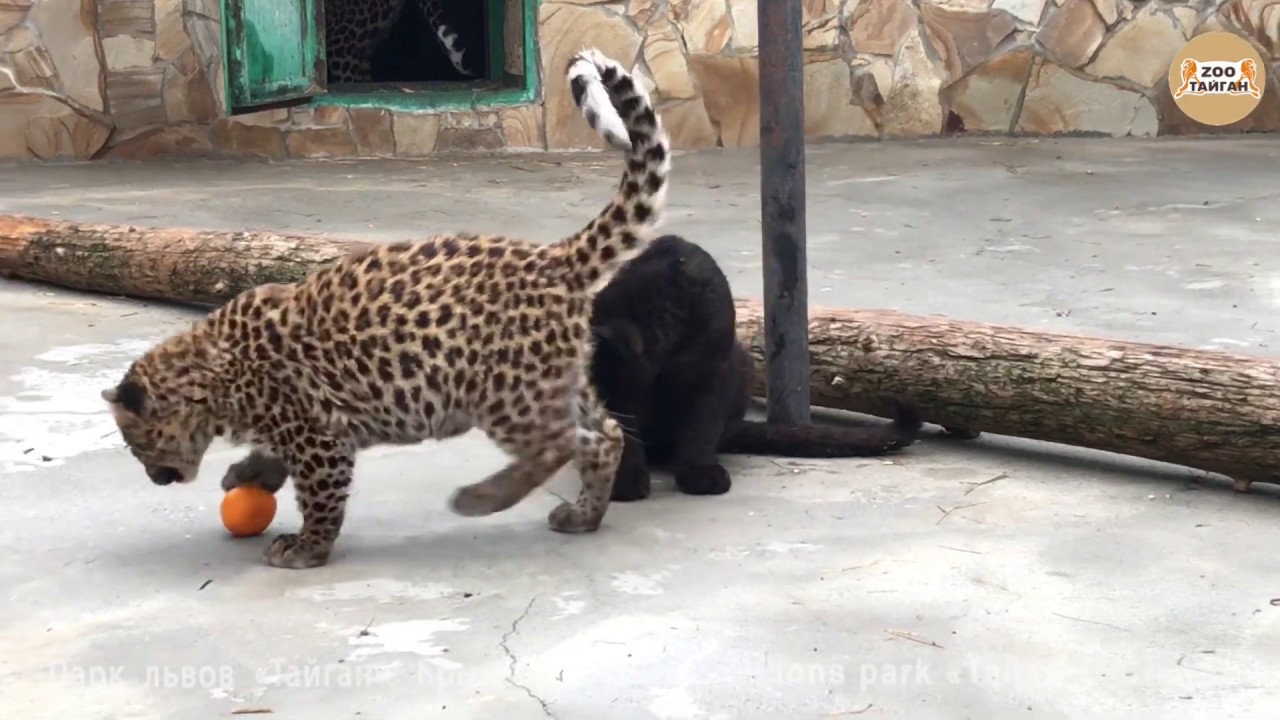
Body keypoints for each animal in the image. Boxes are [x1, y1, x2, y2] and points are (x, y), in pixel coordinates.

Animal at [100, 47, 671, 570]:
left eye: (136, 443)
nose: (154, 478)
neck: (209, 378)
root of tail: (554, 257)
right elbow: (272, 458)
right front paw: (246, 475)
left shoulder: (318, 435)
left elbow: (320, 497)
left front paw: (305, 549)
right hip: (556, 379)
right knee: (607, 437)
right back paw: (583, 515)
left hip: (508, 392)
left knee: (557, 443)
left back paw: (480, 499)